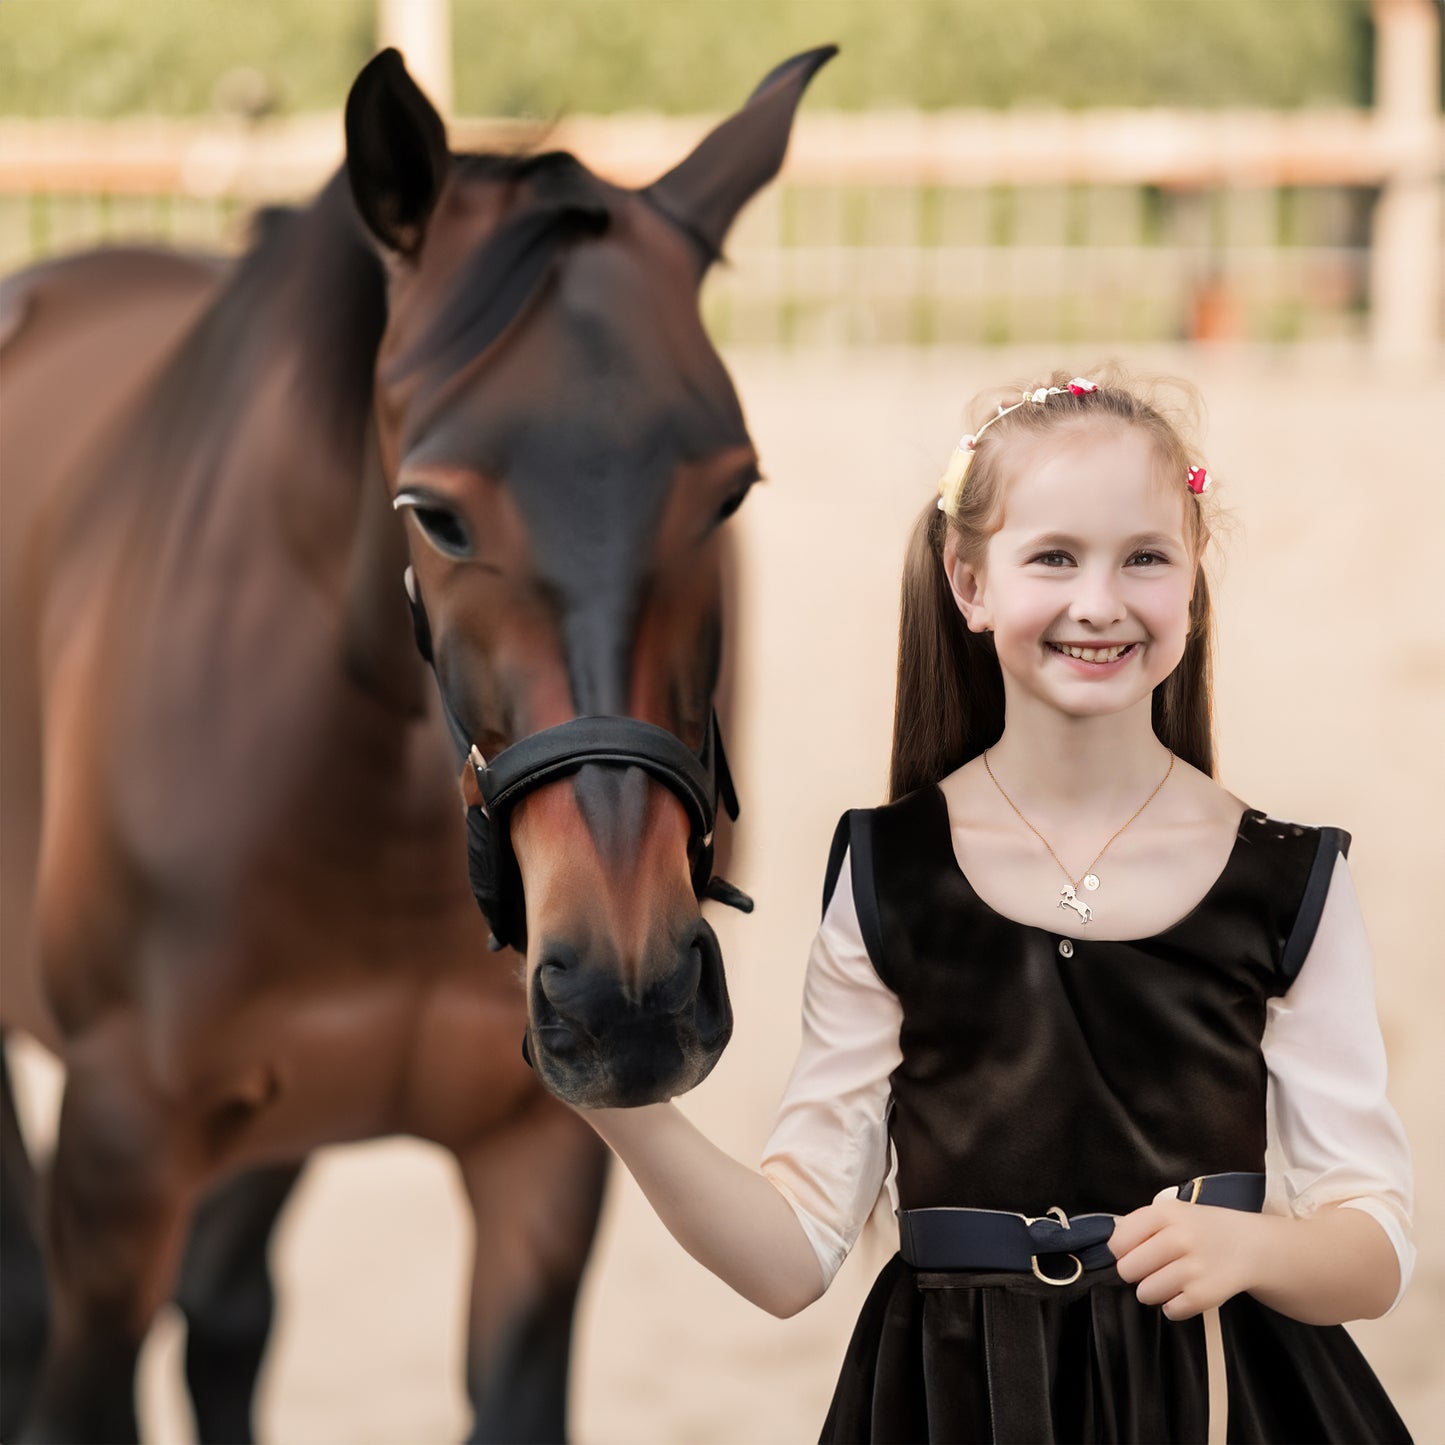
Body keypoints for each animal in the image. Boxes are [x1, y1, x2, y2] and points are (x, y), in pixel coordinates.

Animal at [0, 48, 838, 1445]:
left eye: (732, 490)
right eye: (434, 513)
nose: (628, 999)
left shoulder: (537, 1164)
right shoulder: (117, 1168)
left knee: (228, 1314)